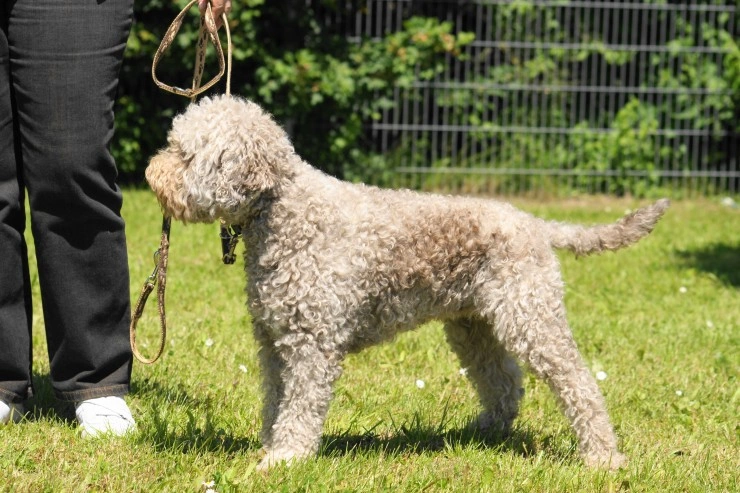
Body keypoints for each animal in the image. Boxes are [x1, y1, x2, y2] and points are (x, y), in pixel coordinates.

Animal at [146, 93, 672, 468]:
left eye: (185, 154)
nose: (151, 174)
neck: (284, 212)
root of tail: (534, 223)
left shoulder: (312, 343)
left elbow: (300, 404)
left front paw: (286, 458)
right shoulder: (273, 340)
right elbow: (275, 399)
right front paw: (269, 446)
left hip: (531, 316)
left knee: (578, 381)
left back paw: (602, 456)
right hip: (473, 326)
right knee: (503, 381)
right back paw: (484, 431)